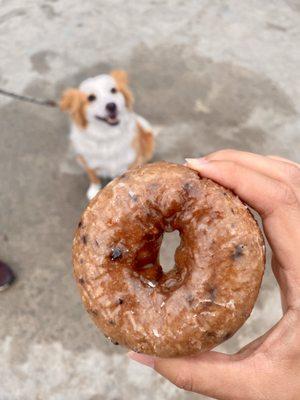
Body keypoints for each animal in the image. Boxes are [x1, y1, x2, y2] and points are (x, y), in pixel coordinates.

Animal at [60, 70, 155, 200]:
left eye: (113, 90)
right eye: (91, 97)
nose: (111, 105)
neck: (108, 136)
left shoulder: (133, 161)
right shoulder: (86, 161)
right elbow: (93, 176)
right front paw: (94, 190)